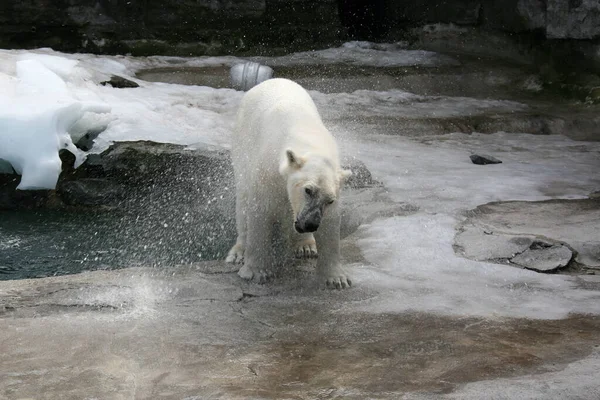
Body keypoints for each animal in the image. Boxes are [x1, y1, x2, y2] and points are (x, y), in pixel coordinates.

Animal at [227, 78, 354, 290]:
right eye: (308, 190)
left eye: (329, 200)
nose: (310, 224)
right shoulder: (268, 170)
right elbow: (261, 209)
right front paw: (257, 272)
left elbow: (330, 222)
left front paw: (337, 278)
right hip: (242, 145)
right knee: (242, 200)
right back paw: (239, 251)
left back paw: (306, 245)